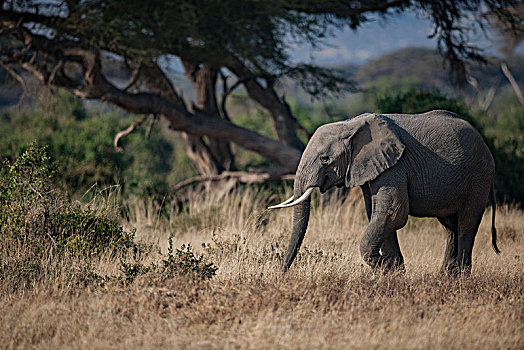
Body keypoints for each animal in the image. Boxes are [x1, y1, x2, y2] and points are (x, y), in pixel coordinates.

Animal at [270, 110, 500, 274]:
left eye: (325, 159)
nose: (282, 275)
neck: (350, 124)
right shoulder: (370, 167)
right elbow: (376, 213)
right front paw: (394, 272)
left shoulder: (396, 165)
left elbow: (392, 212)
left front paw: (386, 269)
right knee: (450, 227)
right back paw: (445, 276)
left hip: (479, 177)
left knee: (466, 223)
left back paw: (460, 277)